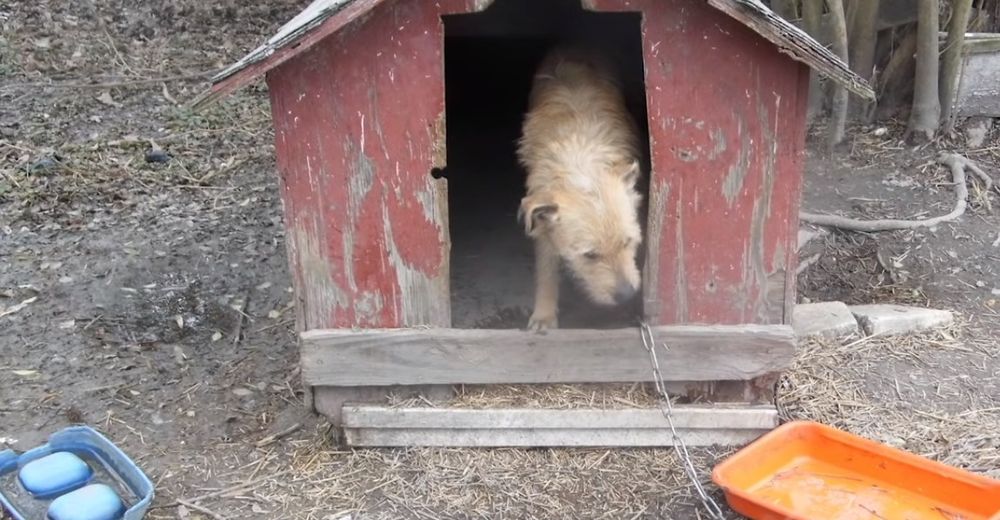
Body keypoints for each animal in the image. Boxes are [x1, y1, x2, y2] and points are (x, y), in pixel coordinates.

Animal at [520, 44, 644, 330]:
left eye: (628, 242)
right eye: (590, 255)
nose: (627, 295)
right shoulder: (542, 219)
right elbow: (546, 267)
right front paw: (544, 313)